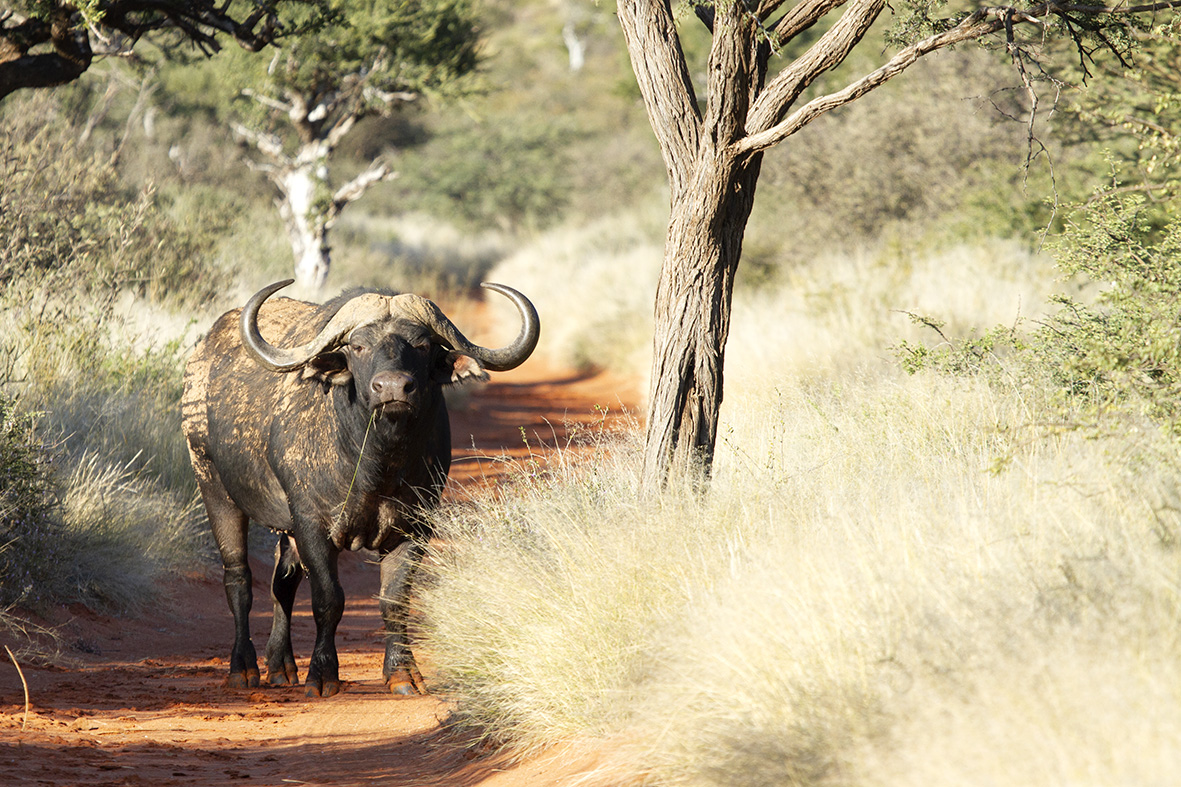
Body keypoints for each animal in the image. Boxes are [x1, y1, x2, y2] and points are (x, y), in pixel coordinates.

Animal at [183, 278, 540, 694]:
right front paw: (322, 675)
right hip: (214, 487)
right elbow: (328, 599)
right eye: (357, 346)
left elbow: (395, 599)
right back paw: (243, 668)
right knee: (239, 578)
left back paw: (281, 666)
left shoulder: (415, 526)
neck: (376, 461)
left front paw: (402, 673)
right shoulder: (312, 523)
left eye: (422, 344)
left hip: (284, 526)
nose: (393, 388)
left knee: (282, 583)